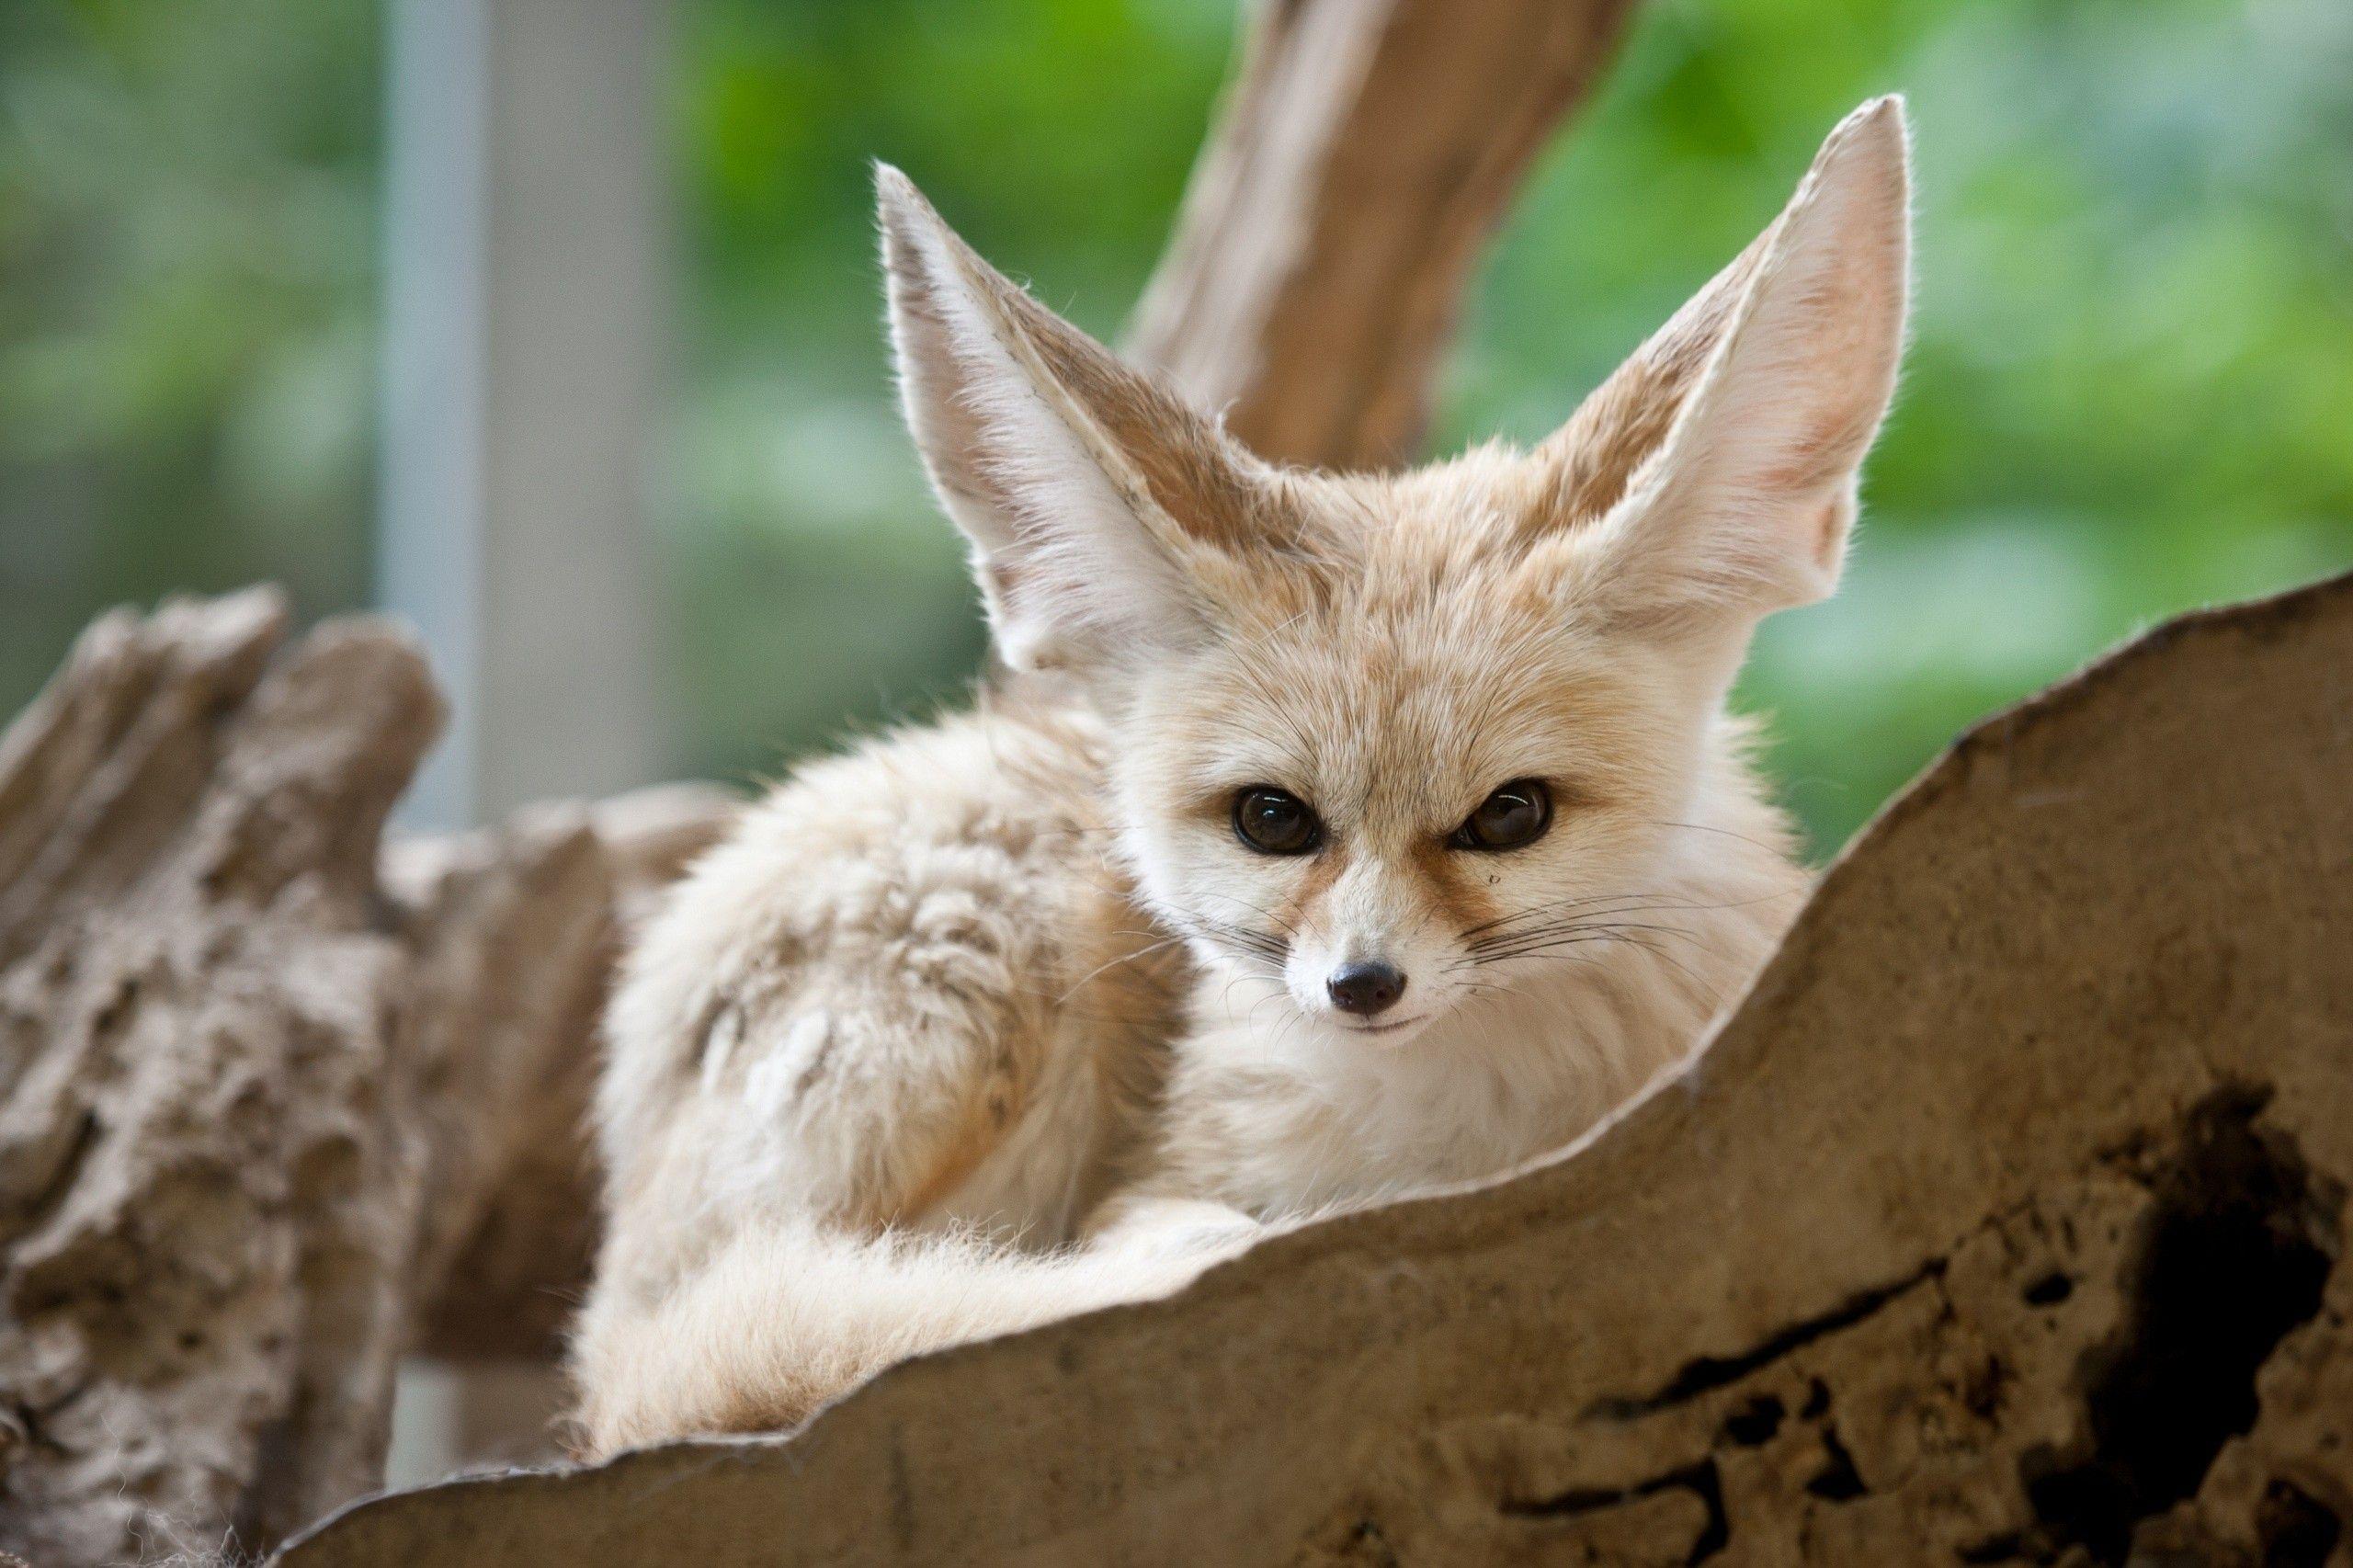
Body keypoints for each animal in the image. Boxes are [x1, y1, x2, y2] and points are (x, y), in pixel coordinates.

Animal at [571, 97, 1912, 1459]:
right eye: (1273, 819)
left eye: (1509, 815)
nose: (1361, 985)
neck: (1466, 1134)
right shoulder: (1156, 1174)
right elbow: (1146, 1239)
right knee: (702, 1354)